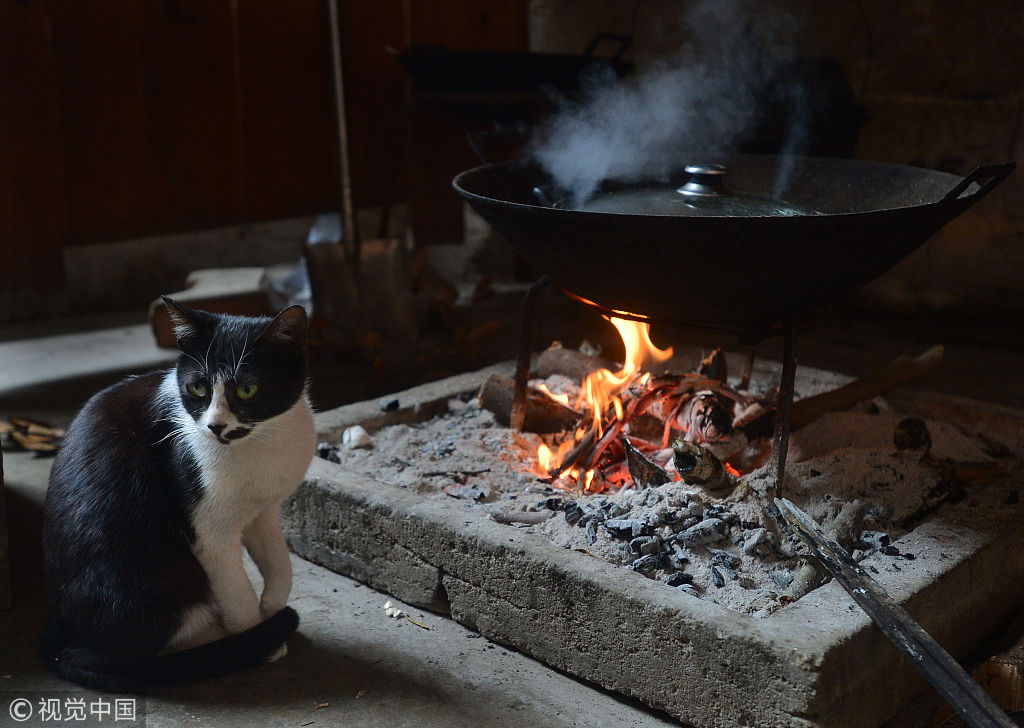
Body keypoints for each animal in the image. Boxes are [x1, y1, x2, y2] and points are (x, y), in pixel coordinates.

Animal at [41, 296, 315, 688]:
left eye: (246, 390)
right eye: (198, 388)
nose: (215, 426)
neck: (261, 442)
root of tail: (57, 623)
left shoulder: (263, 511)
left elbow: (280, 564)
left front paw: (272, 608)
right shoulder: (209, 533)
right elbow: (237, 592)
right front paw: (257, 637)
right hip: (157, 569)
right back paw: (218, 641)